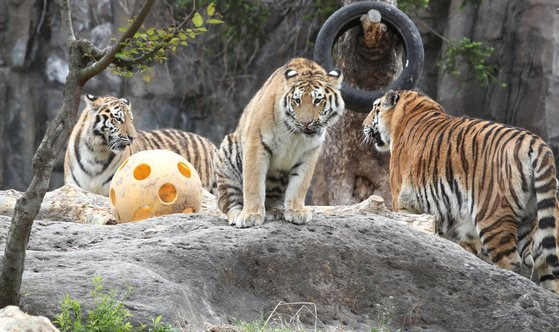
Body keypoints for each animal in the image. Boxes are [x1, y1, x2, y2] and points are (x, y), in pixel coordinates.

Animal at [63, 94, 217, 197]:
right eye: (118, 118)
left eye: (131, 120)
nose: (133, 137)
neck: (96, 152)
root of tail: (209, 142)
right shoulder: (74, 186)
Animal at [215, 57, 344, 228]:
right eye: (297, 100)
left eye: (317, 100)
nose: (306, 123)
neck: (295, 134)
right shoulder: (256, 144)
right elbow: (253, 183)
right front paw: (251, 215)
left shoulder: (309, 153)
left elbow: (300, 184)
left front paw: (296, 212)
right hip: (227, 159)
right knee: (228, 203)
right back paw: (238, 216)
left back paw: (275, 210)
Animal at [364, 89, 559, 294]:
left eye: (375, 108)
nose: (363, 125)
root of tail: (536, 142)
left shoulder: (402, 203)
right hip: (527, 220)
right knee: (532, 264)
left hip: (493, 217)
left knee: (511, 262)